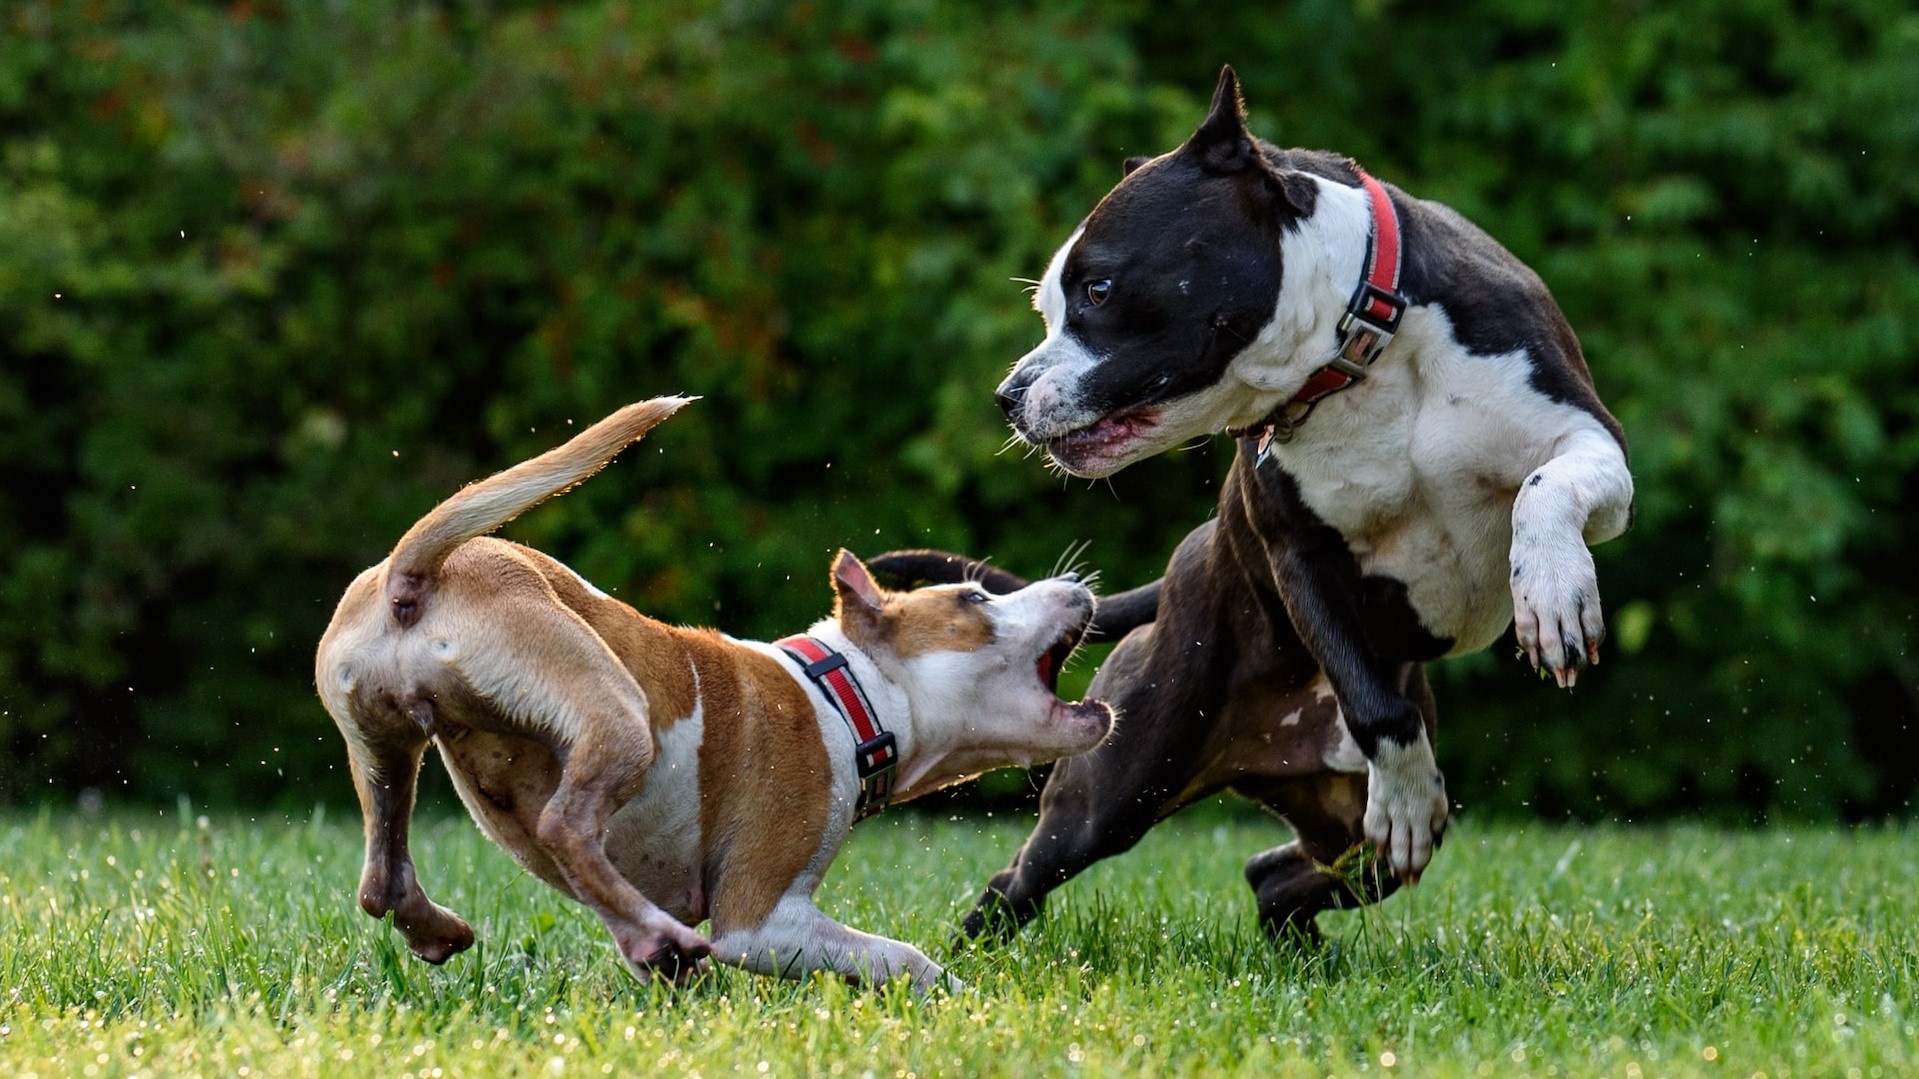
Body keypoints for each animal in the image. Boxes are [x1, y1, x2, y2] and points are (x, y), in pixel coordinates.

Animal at [314, 397, 1113, 990]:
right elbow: (904, 958)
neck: (844, 692)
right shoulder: (761, 919)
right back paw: (658, 934)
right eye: (975, 598)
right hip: (614, 709)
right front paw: (956, 997)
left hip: (383, 746)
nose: (1077, 585)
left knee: (382, 877)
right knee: (564, 824)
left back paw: (459, 929)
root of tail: (413, 575)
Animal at [878, 67, 1627, 940]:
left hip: (1341, 829)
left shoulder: (1589, 439)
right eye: (1050, 309)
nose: (1007, 395)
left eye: (1098, 288)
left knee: (1278, 873)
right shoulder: (1296, 552)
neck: (1360, 352)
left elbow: (1545, 488)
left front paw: (1552, 592)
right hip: (1116, 784)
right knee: (1022, 877)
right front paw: (1407, 793)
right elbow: (1374, 705)